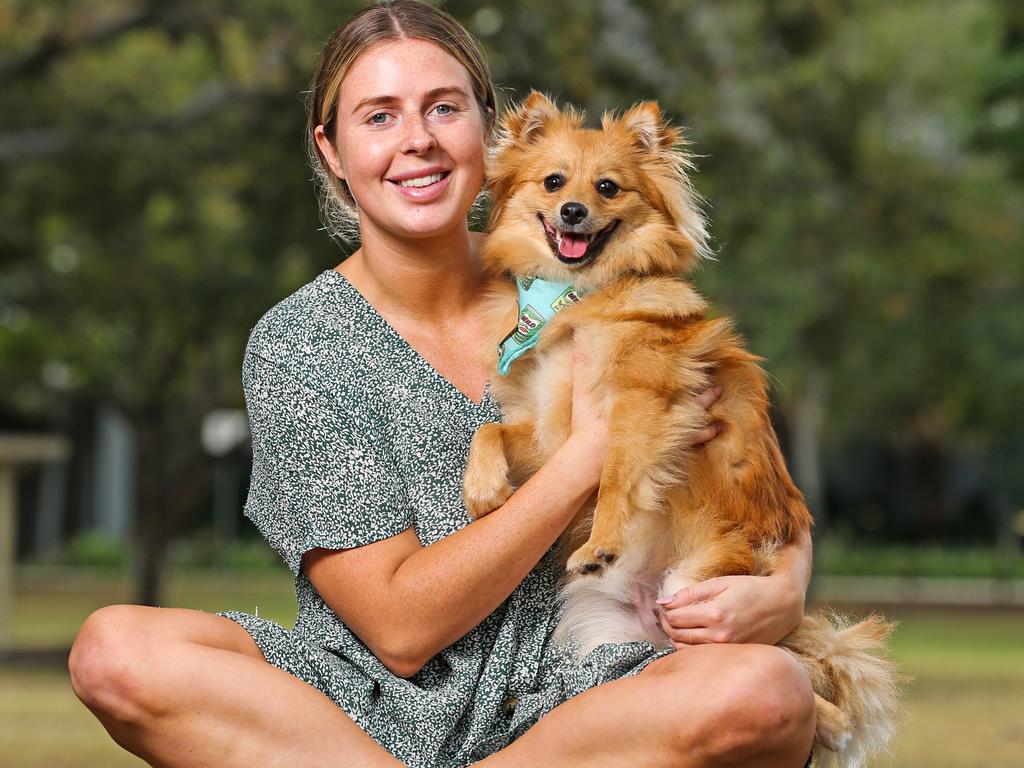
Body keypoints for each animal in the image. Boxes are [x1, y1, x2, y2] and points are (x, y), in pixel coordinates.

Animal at [460, 93, 901, 765]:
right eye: (554, 181)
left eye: (608, 187)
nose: (573, 210)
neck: (576, 297)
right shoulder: (550, 432)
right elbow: (490, 434)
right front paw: (483, 488)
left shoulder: (646, 404)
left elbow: (617, 477)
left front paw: (600, 544)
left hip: (705, 597)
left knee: (797, 681)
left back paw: (832, 723)